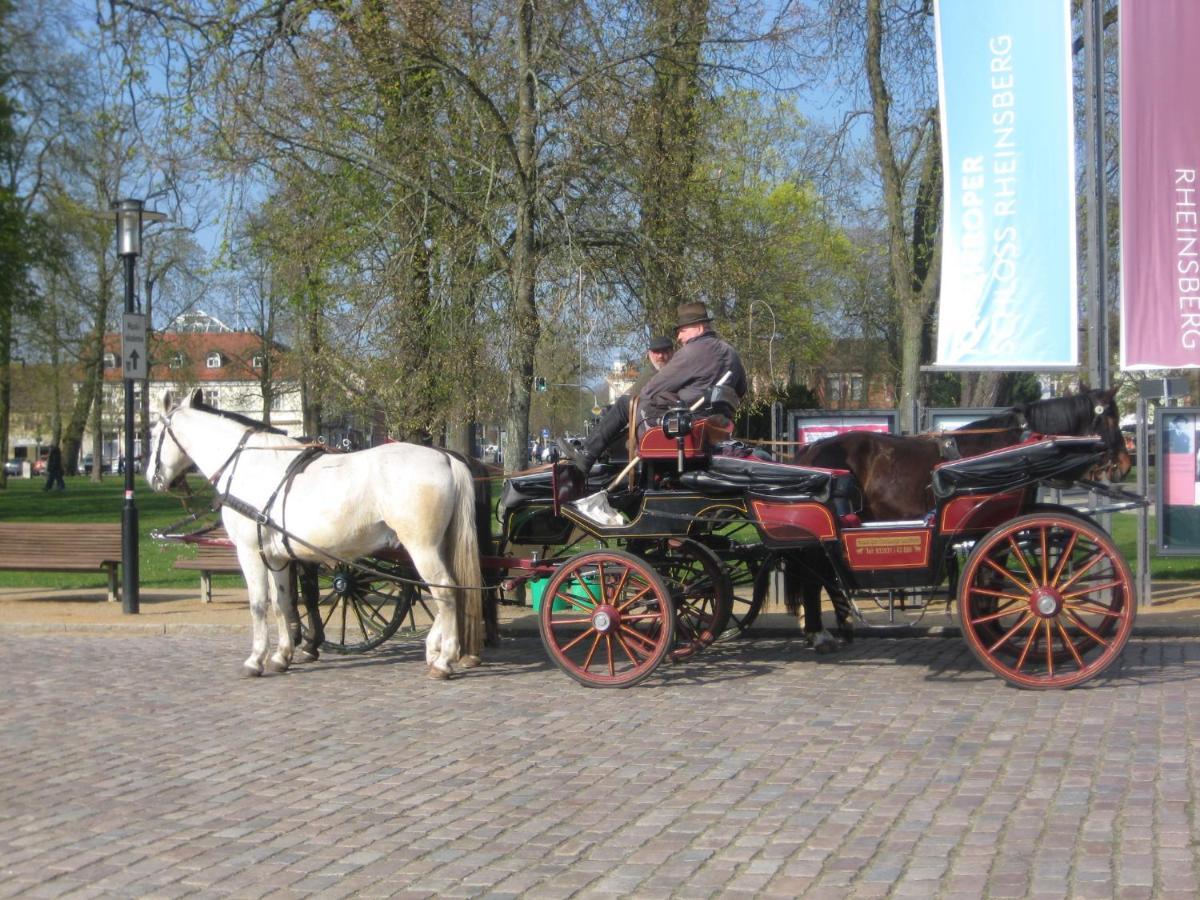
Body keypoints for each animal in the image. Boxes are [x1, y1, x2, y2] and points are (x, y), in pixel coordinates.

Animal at [147, 391, 484, 681]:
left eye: (152, 434)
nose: (152, 478)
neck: (248, 466)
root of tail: (444, 457)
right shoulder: (277, 556)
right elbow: (282, 603)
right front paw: (282, 655)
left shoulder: (250, 551)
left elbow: (259, 605)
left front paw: (255, 659)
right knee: (450, 590)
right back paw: (436, 648)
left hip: (421, 547)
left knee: (446, 591)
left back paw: (444, 659)